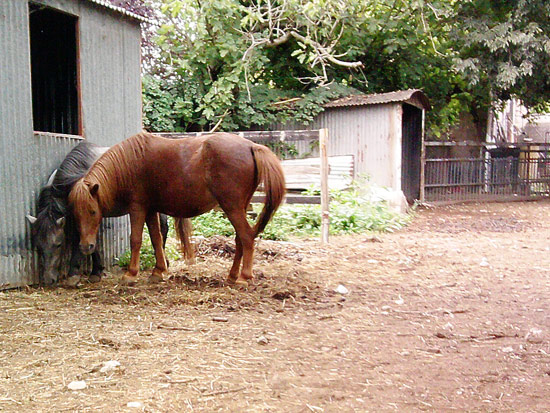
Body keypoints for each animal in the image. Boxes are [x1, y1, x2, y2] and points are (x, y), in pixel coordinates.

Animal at [67, 132, 286, 286]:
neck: (128, 165)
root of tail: (251, 146)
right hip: (238, 208)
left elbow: (136, 240)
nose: (85, 247)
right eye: (76, 214)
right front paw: (158, 271)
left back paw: (244, 277)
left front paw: (131, 274)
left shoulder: (137, 208)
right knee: (241, 238)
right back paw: (232, 275)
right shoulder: (151, 210)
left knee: (247, 237)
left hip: (231, 207)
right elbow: (156, 239)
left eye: (93, 212)